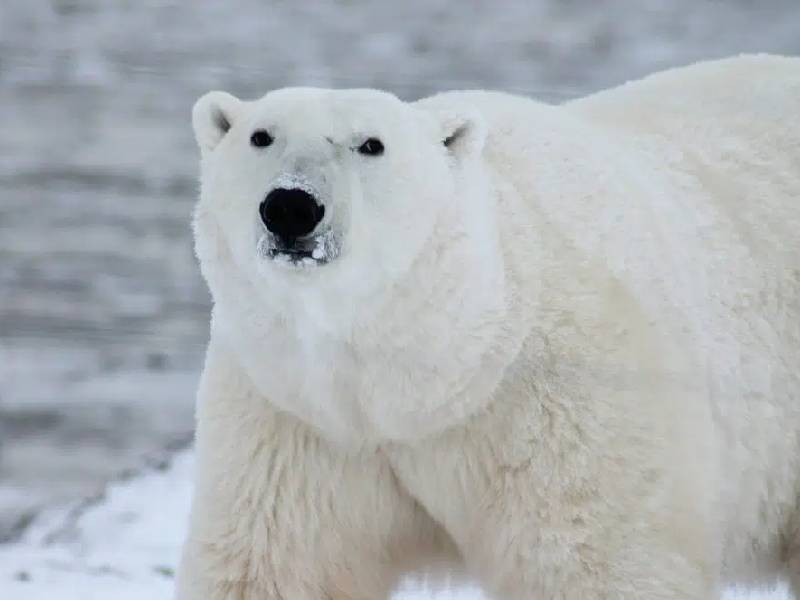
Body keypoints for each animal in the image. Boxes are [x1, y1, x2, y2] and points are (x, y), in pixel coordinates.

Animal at [175, 54, 800, 596]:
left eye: (371, 144)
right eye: (261, 136)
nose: (291, 206)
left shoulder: (564, 407)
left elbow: (596, 563)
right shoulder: (296, 417)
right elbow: (276, 564)